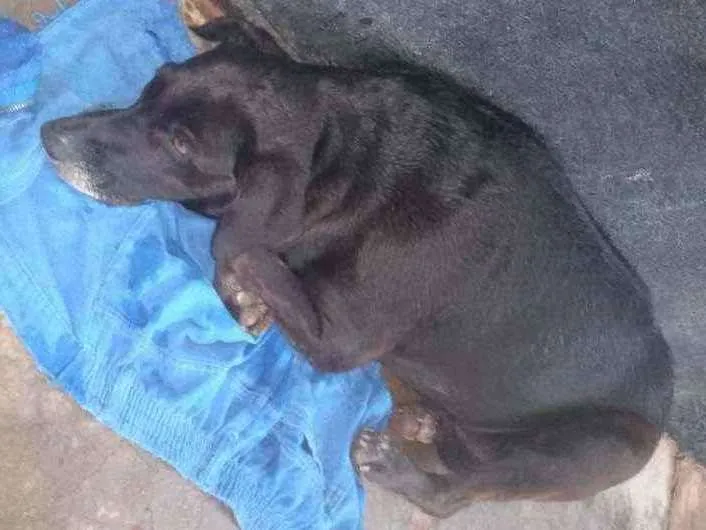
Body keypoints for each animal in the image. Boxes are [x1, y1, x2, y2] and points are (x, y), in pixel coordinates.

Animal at [40, 15, 673, 517]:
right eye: (154, 82)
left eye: (179, 145)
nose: (50, 135)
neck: (338, 146)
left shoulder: (340, 339)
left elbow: (246, 248)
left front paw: (243, 284)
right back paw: (427, 423)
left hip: (584, 448)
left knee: (455, 493)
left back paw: (397, 463)